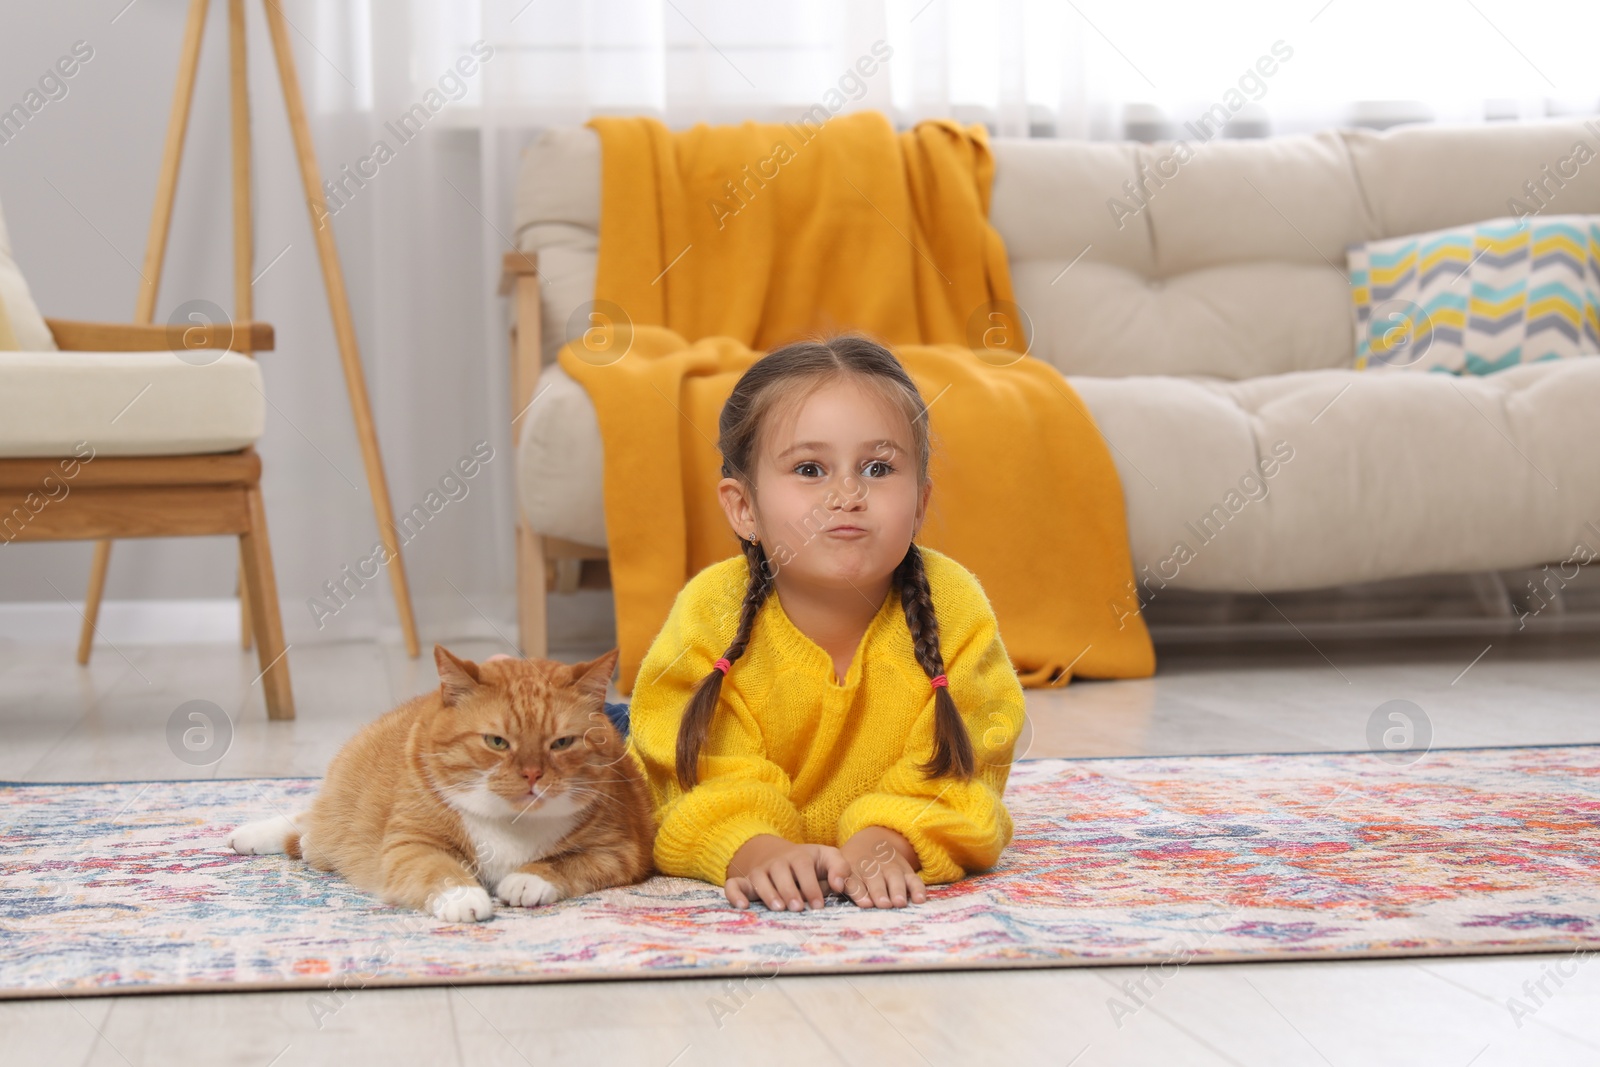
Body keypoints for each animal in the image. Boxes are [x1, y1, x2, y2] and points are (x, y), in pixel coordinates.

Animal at [225, 646, 656, 921]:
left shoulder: (621, 851)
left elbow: (565, 862)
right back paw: (249, 834)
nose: (533, 774)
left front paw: (527, 879)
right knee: (309, 818)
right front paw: (463, 896)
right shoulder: (410, 843)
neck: (511, 824)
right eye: (497, 742)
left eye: (561, 743)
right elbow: (437, 868)